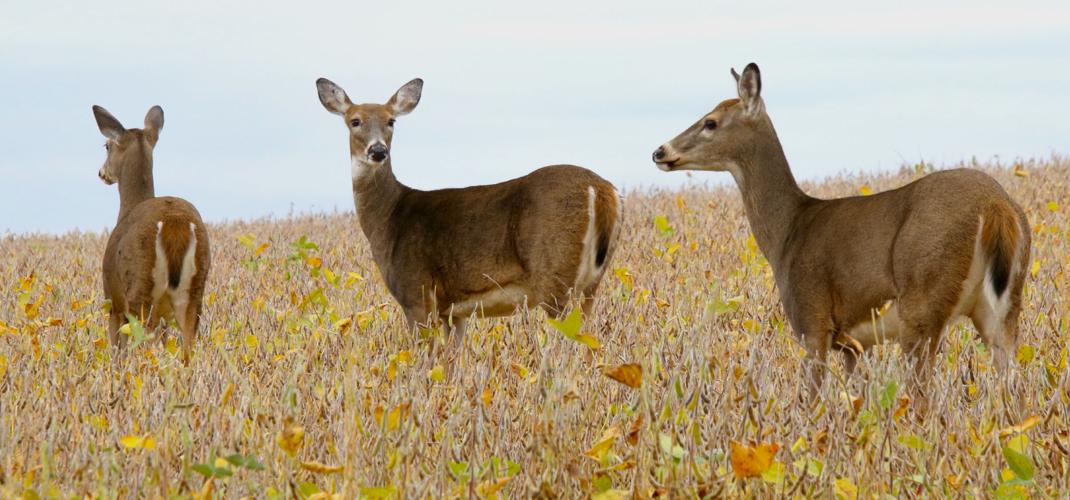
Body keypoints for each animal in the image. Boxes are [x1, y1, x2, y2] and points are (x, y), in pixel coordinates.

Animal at [93, 105, 211, 365]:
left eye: (107, 145)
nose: (101, 173)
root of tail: (174, 222)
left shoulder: (113, 301)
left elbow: (116, 351)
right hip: (194, 293)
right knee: (188, 350)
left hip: (140, 289)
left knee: (144, 350)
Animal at [315, 77, 621, 344]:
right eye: (355, 121)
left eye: (391, 121)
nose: (378, 151)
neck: (389, 218)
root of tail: (601, 190)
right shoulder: (452, 310)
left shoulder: (415, 292)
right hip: (592, 282)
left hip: (555, 276)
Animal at [653, 63, 1031, 402]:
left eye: (710, 122)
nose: (659, 151)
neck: (788, 232)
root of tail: (996, 205)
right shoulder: (854, 344)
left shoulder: (812, 320)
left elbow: (812, 400)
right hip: (1003, 308)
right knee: (1013, 388)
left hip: (922, 302)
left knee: (925, 397)